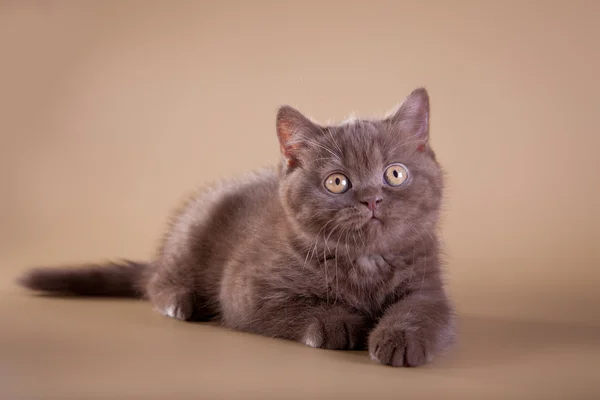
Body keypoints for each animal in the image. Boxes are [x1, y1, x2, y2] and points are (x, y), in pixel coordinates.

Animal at [21, 88, 458, 368]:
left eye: (395, 174)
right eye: (337, 182)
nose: (371, 199)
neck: (364, 261)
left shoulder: (428, 284)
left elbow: (424, 310)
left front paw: (400, 339)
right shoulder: (245, 292)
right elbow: (296, 307)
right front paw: (343, 323)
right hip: (193, 229)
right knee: (155, 281)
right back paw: (179, 301)